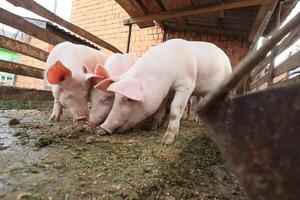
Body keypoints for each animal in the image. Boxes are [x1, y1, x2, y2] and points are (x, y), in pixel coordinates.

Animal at [95, 38, 231, 144]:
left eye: (128, 99)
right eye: (116, 97)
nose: (104, 126)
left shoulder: (186, 85)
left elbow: (175, 109)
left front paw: (166, 141)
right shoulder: (166, 92)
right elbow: (161, 108)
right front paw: (154, 127)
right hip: (200, 92)